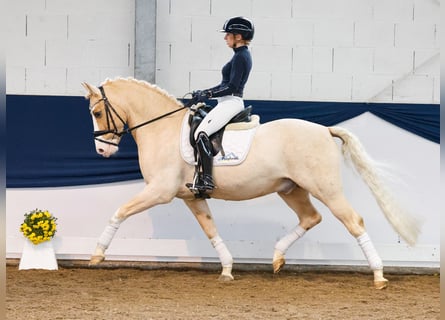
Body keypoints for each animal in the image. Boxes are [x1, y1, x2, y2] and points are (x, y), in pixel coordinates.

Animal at [80, 78, 420, 290]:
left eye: (97, 112)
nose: (102, 151)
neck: (162, 128)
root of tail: (324, 130)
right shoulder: (192, 196)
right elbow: (210, 229)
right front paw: (228, 270)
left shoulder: (159, 192)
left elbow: (120, 211)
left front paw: (97, 254)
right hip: (291, 188)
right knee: (311, 217)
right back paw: (277, 258)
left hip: (326, 188)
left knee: (353, 221)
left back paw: (378, 276)